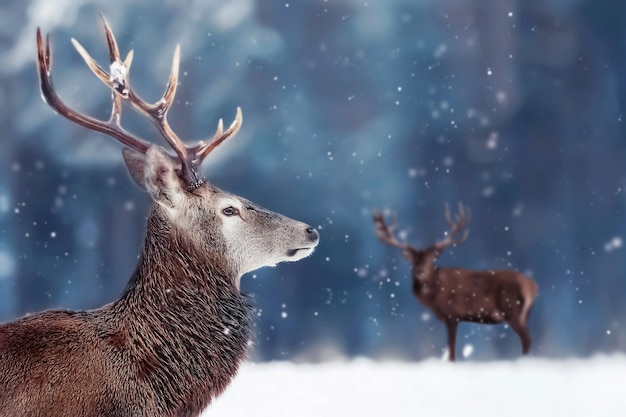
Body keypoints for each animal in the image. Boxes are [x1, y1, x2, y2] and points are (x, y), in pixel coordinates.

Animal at [370, 203, 536, 360]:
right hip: (525, 314)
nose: (420, 271)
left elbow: (451, 350)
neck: (434, 297)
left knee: (527, 339)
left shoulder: (452, 314)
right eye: (413, 260)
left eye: (431, 259)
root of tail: (532, 286)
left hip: (512, 309)